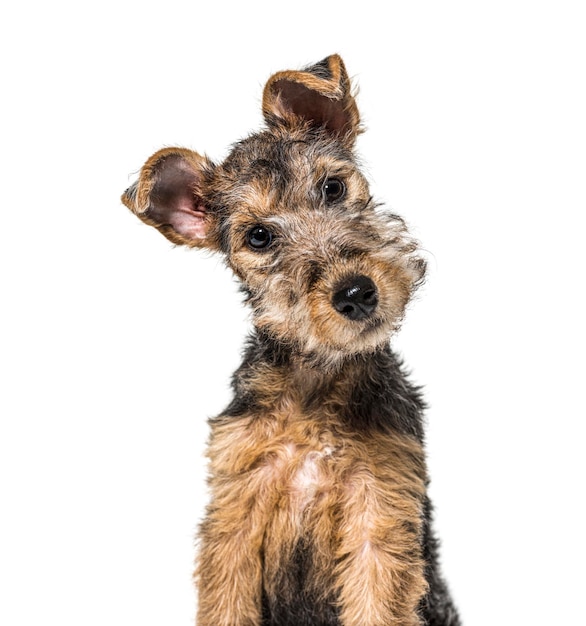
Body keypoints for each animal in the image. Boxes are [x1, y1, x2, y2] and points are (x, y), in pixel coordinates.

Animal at [121, 52, 458, 624]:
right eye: (259, 236)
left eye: (332, 188)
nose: (355, 293)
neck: (316, 380)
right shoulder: (235, 509)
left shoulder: (380, 508)